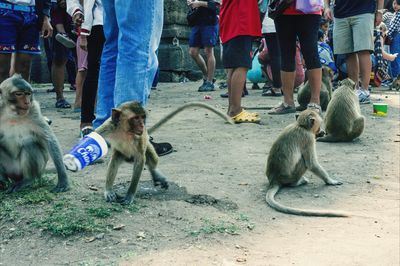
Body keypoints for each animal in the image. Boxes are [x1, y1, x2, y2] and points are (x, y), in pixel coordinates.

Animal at [95, 101, 233, 205]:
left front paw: (129, 195)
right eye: (135, 118)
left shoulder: (140, 138)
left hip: (145, 145)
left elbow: (140, 160)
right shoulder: (108, 126)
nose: (142, 126)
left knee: (151, 159)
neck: (126, 131)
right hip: (122, 154)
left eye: (142, 117)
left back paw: (155, 172)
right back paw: (109, 190)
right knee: (115, 160)